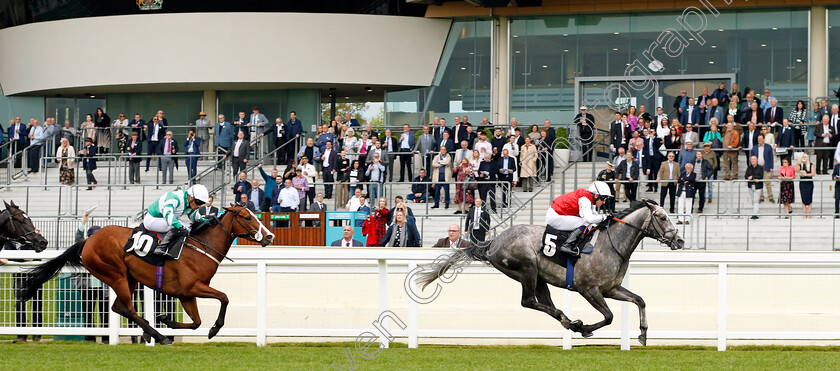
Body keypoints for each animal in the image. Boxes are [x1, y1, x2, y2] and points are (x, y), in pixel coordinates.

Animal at [19, 205, 274, 344]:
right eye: (248, 217)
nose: (270, 236)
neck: (201, 247)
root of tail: (88, 240)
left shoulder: (185, 294)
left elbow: (196, 322)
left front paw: (167, 320)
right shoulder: (192, 287)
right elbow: (224, 297)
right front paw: (214, 329)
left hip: (129, 278)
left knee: (118, 308)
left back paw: (154, 332)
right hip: (116, 274)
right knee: (126, 308)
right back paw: (158, 336)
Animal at [416, 201, 684, 346]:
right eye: (662, 217)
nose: (679, 240)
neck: (610, 243)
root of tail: (492, 243)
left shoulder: (612, 288)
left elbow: (640, 300)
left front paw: (643, 334)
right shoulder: (589, 289)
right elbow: (608, 317)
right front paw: (587, 328)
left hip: (539, 278)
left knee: (542, 302)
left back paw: (568, 320)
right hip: (527, 269)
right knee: (528, 301)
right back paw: (572, 322)